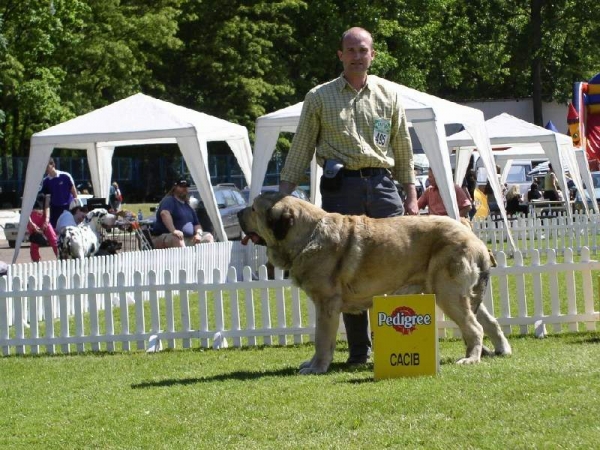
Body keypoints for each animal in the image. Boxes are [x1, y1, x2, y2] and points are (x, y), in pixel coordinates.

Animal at [239, 192, 510, 374]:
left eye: (253, 209)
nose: (238, 212)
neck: (308, 235)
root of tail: (474, 238)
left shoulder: (326, 305)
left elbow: (322, 339)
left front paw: (316, 367)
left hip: (448, 293)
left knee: (475, 327)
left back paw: (471, 359)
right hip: (462, 295)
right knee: (489, 322)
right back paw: (502, 350)